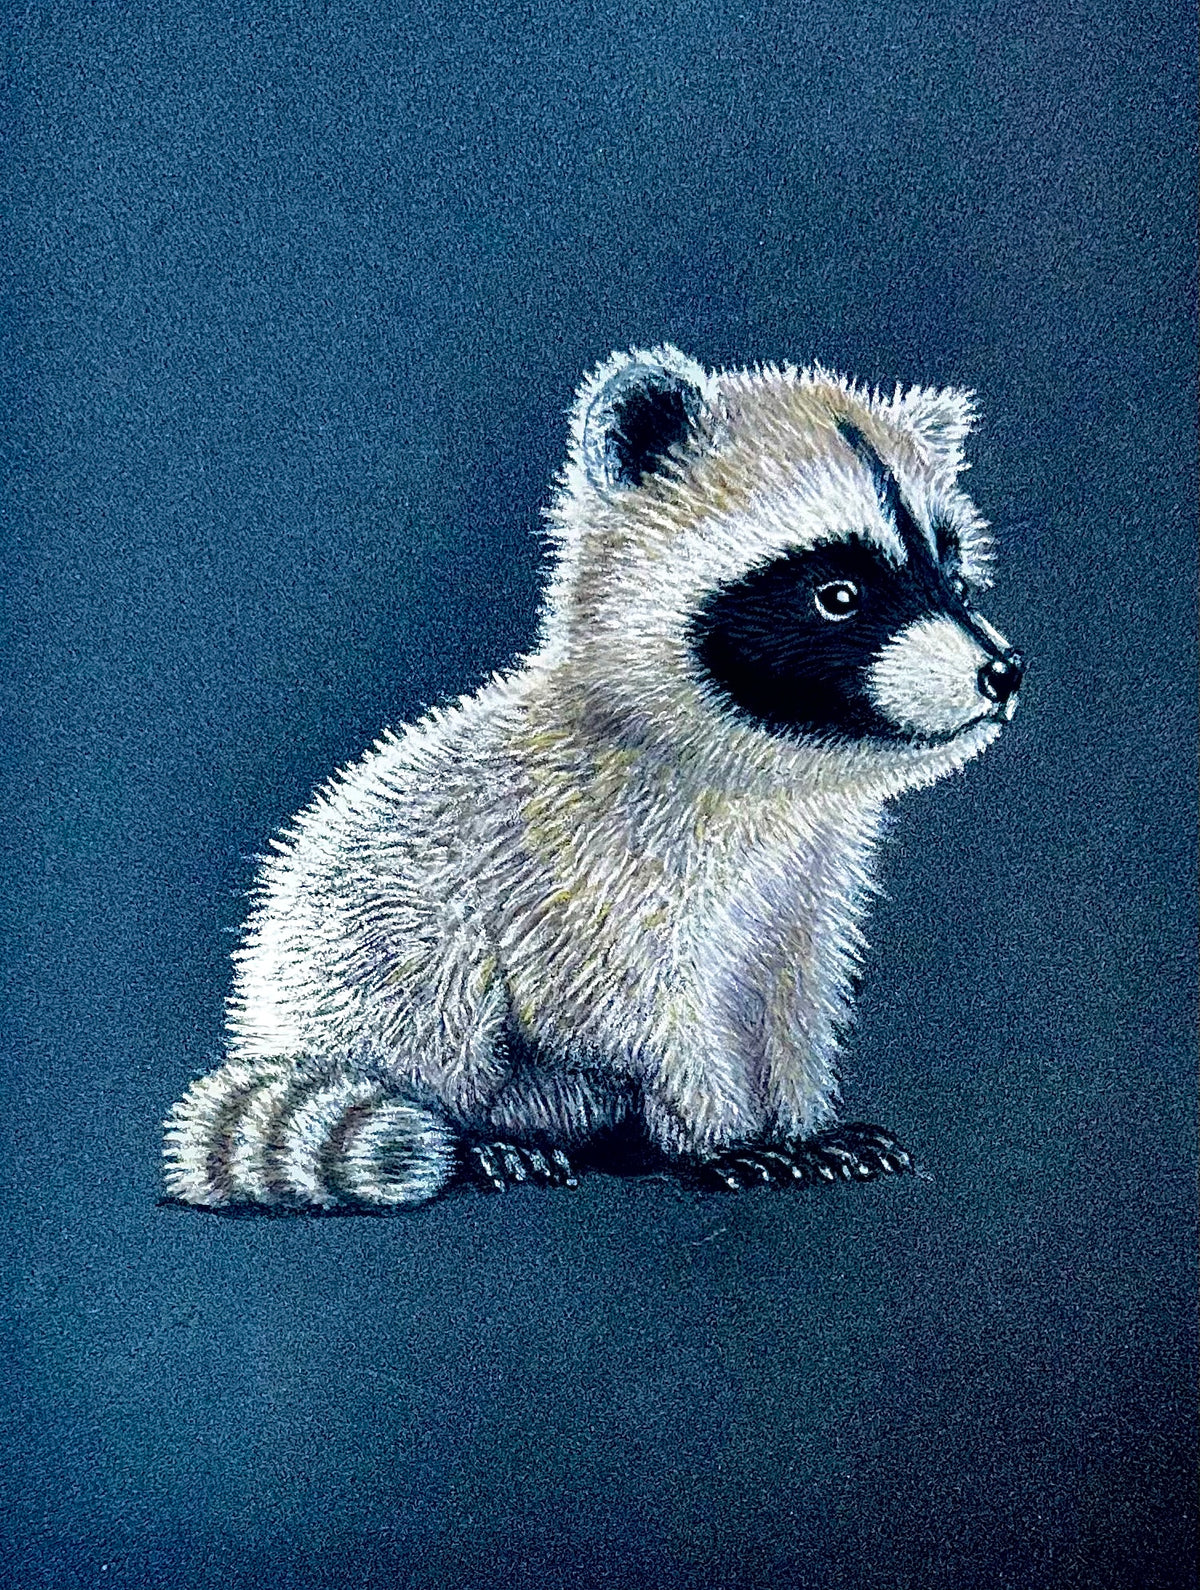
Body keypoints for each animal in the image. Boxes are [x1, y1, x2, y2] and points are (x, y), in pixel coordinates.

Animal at [163, 345, 1022, 1209]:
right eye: (837, 594)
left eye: (955, 581)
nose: (1002, 672)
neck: (768, 773)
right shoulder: (578, 872)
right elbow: (636, 1011)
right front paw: (717, 1133)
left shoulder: (809, 885)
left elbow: (795, 995)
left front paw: (801, 1121)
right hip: (353, 942)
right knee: (430, 981)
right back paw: (477, 1135)